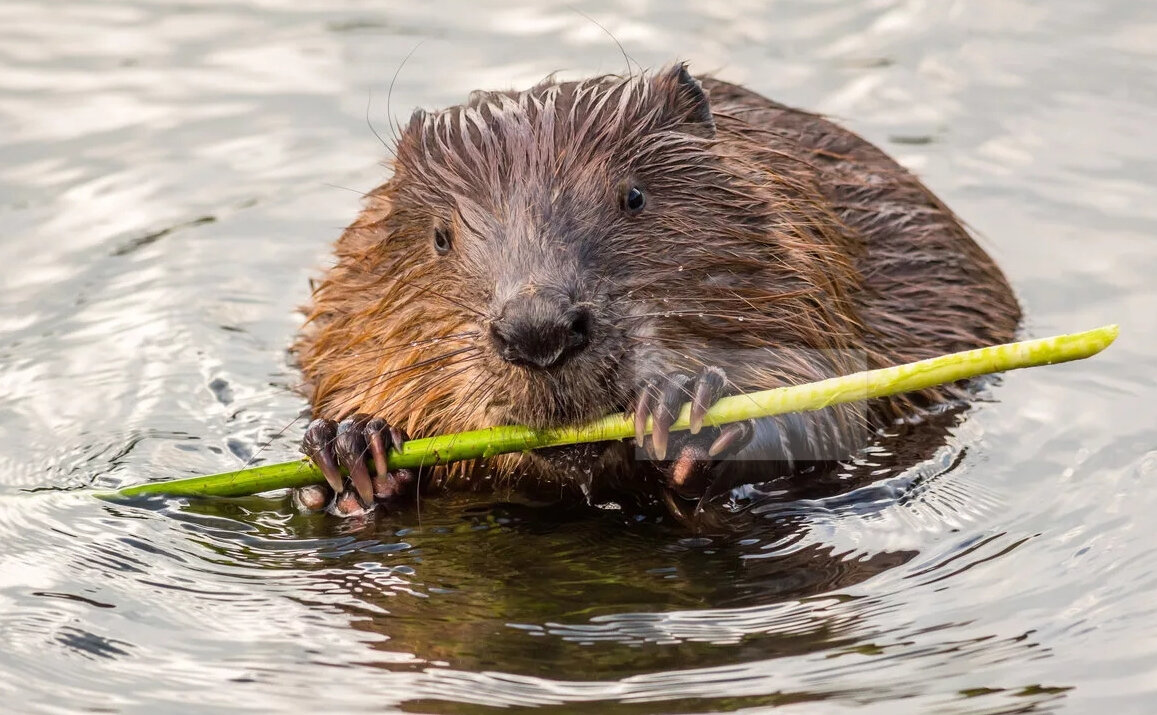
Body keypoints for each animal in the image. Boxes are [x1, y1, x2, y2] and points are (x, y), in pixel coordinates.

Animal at [291, 62, 1022, 518]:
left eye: (635, 196)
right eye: (441, 236)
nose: (537, 330)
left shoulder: (813, 266)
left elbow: (826, 407)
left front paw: (690, 411)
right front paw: (354, 447)